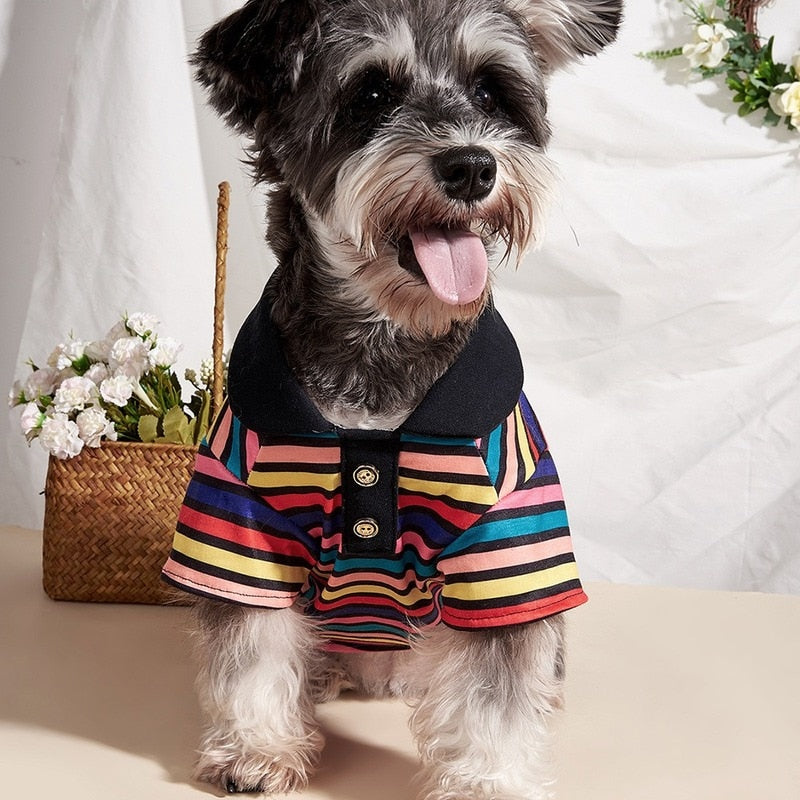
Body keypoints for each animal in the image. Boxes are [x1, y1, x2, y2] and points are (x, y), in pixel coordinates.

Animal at [162, 1, 620, 800]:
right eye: (372, 95)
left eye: (491, 90)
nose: (471, 165)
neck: (383, 346)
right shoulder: (236, 528)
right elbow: (251, 652)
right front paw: (256, 750)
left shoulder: (507, 551)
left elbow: (496, 689)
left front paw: (489, 777)